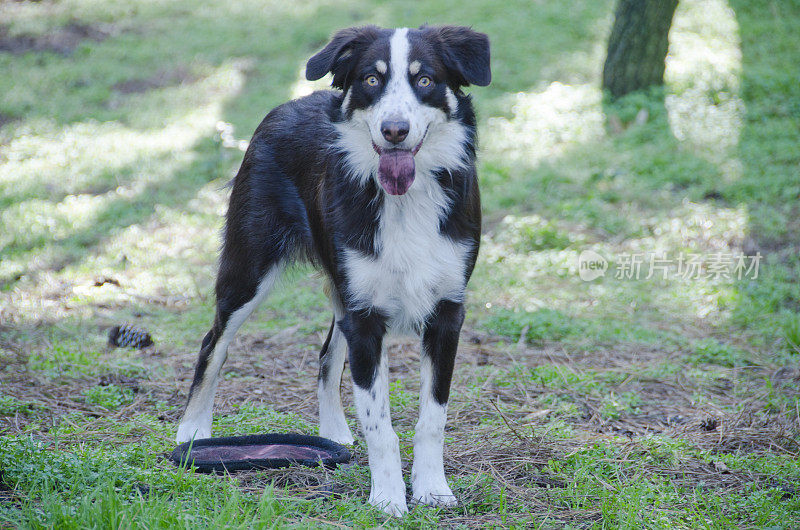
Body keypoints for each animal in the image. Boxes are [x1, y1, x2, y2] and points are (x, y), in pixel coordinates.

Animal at [177, 23, 488, 512]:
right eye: (371, 80)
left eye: (425, 80)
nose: (394, 131)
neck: (406, 201)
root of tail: (287, 105)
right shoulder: (366, 316)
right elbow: (380, 425)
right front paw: (388, 498)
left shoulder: (445, 312)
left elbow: (432, 419)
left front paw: (432, 488)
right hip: (250, 270)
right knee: (214, 342)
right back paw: (193, 431)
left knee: (328, 353)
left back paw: (334, 433)